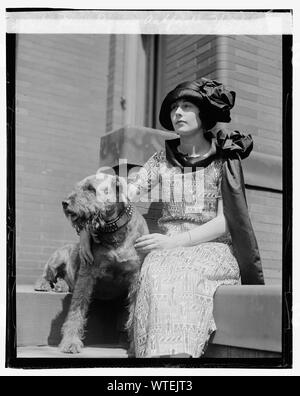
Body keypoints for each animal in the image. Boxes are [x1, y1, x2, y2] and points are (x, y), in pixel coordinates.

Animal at [34, 172, 149, 354]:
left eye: (90, 188)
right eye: (78, 186)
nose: (64, 203)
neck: (114, 231)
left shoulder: (135, 277)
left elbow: (135, 311)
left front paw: (135, 346)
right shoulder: (87, 274)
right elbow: (77, 309)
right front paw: (70, 342)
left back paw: (61, 286)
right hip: (58, 257)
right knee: (46, 274)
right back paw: (44, 284)